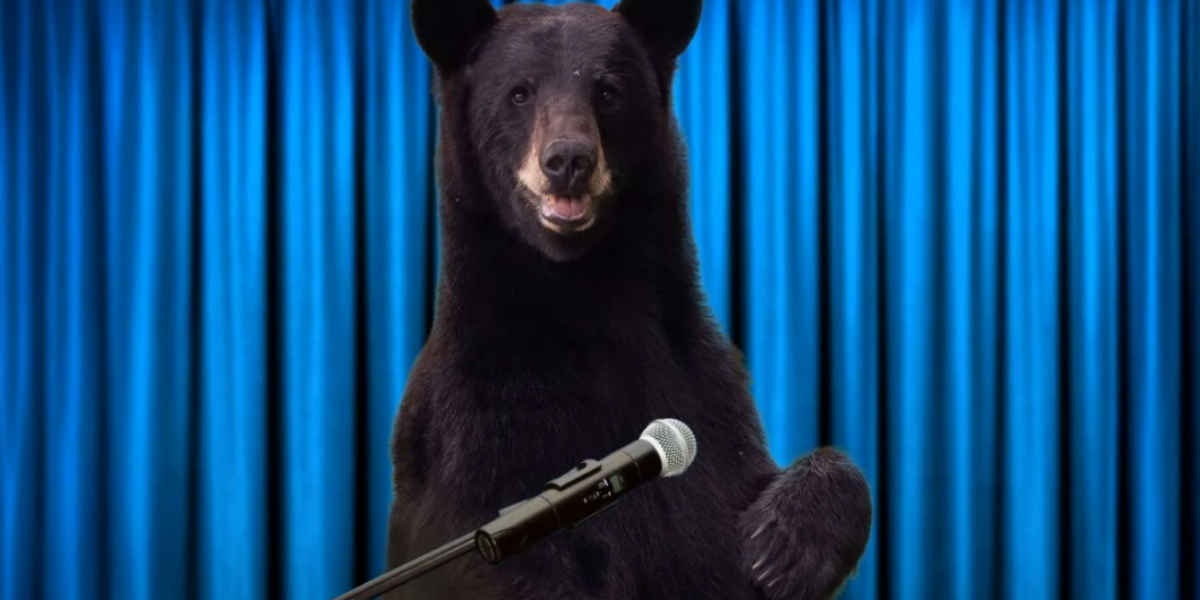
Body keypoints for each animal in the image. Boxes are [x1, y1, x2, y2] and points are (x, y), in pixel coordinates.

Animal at [383, 1, 873, 599]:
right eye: (519, 93)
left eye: (608, 90)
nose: (568, 159)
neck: (587, 297)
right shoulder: (474, 427)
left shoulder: (703, 395)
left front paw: (782, 544)